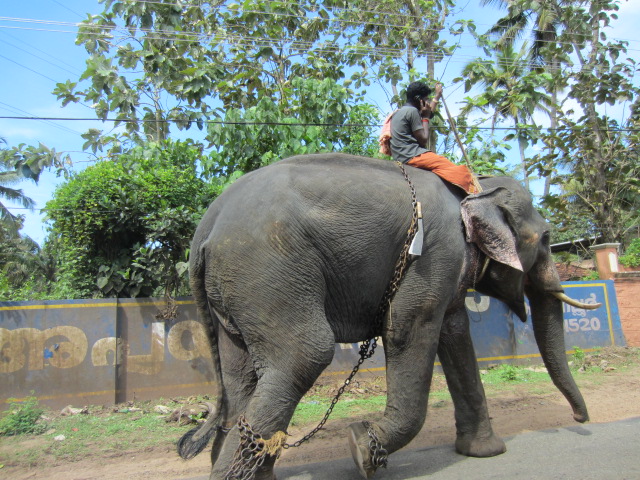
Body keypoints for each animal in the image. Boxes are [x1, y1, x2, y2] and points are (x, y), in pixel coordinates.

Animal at [178, 153, 599, 480]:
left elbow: (455, 334)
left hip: (234, 291)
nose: (581, 420)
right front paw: (361, 448)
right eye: (546, 239)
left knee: (240, 377)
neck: (477, 188)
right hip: (267, 268)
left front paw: (485, 452)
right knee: (305, 354)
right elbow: (407, 330)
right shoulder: (434, 254)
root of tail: (204, 229)